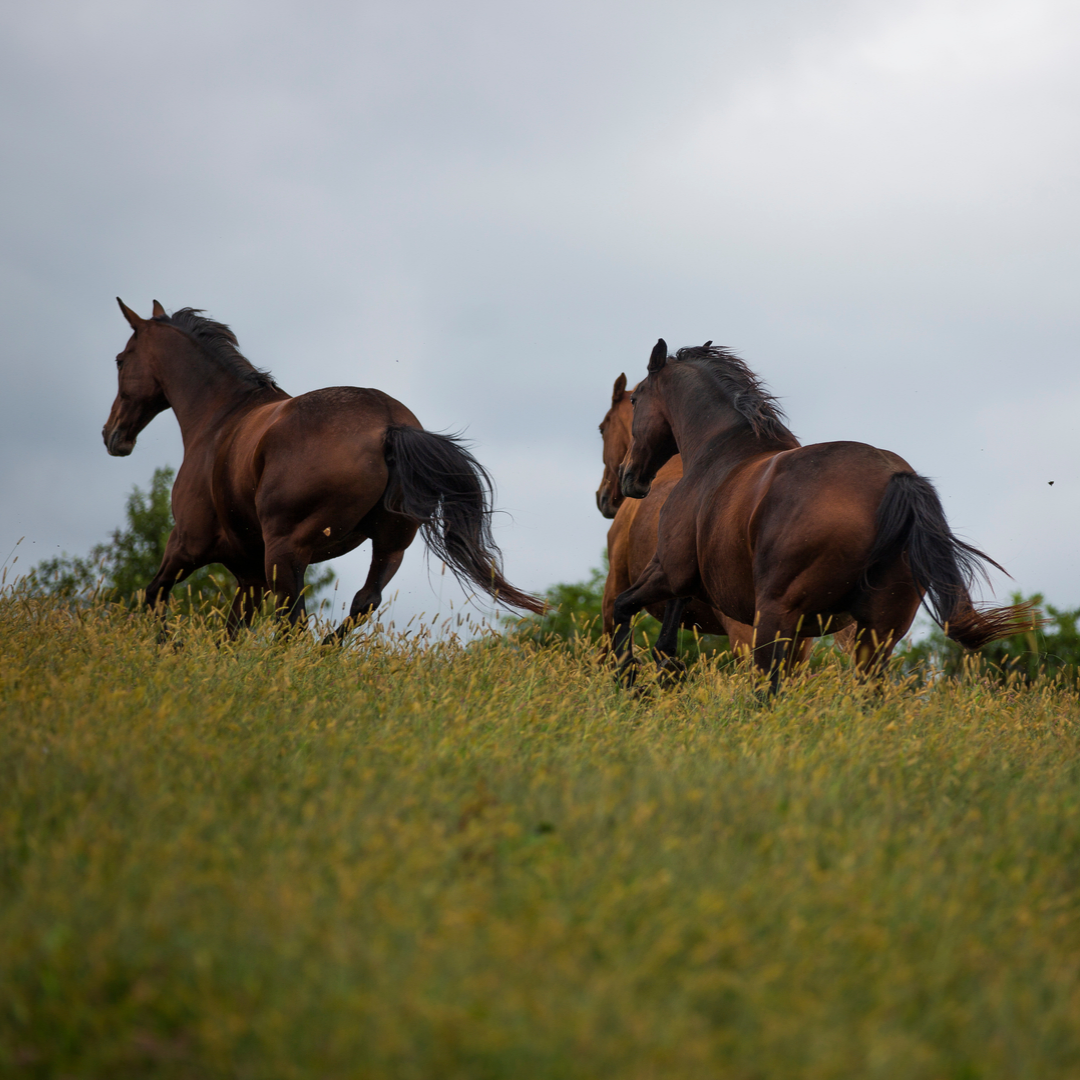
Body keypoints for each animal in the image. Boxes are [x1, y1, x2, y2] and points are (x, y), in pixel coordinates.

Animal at [102, 298, 544, 630]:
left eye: (121, 360)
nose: (112, 434)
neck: (222, 417)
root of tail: (388, 425)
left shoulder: (186, 545)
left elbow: (152, 596)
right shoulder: (249, 574)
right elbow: (228, 632)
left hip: (285, 551)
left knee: (295, 623)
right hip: (389, 546)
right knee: (362, 603)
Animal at [613, 341, 1032, 686]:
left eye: (635, 402)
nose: (629, 478)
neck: (720, 451)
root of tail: (894, 480)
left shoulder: (669, 571)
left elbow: (623, 609)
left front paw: (629, 677)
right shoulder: (683, 586)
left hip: (777, 615)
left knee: (767, 690)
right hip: (878, 629)